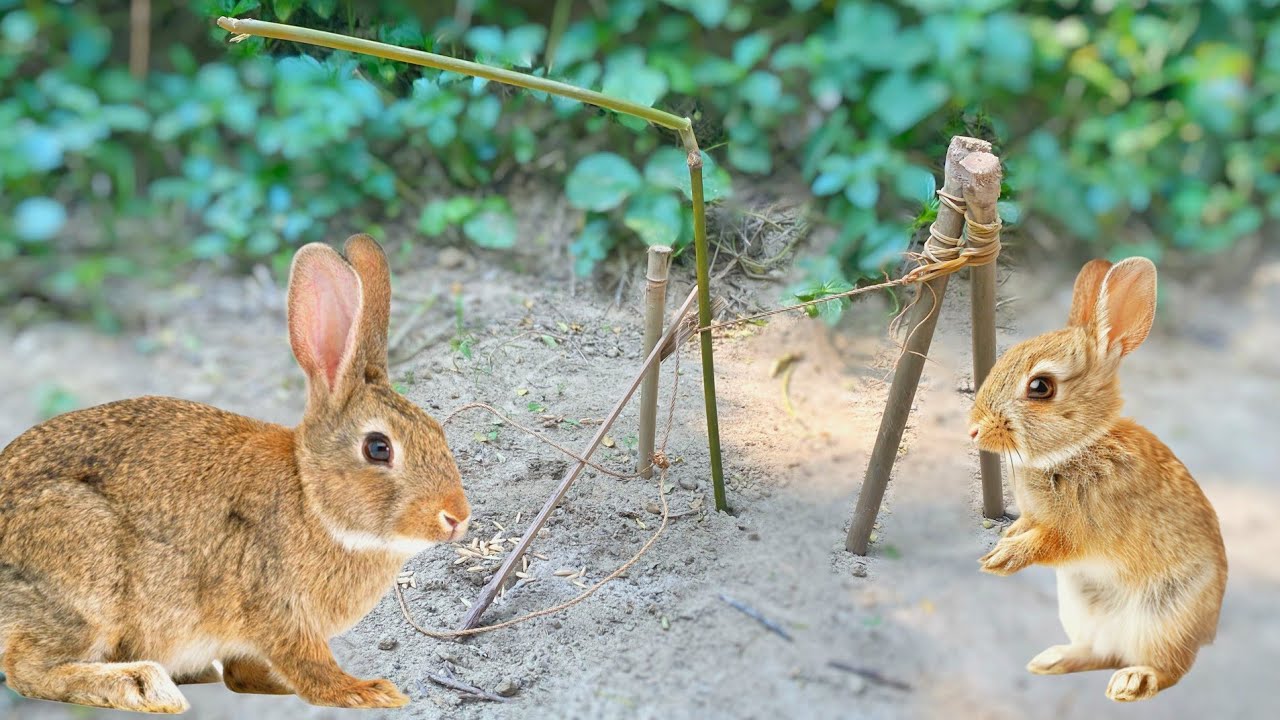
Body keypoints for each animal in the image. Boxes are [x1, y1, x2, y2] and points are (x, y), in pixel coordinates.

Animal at [0, 234, 471, 713]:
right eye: (379, 448)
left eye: (437, 431)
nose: (456, 517)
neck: (311, 500)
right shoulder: (277, 609)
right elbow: (308, 665)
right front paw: (367, 691)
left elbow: (245, 675)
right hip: (83, 569)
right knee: (28, 670)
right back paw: (144, 686)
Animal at [968, 257, 1227, 703]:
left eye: (1040, 387)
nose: (973, 430)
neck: (1077, 448)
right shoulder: (1037, 518)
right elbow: (1026, 526)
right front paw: (1003, 542)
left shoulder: (1079, 530)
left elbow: (1051, 543)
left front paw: (1002, 560)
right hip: (1080, 607)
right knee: (1101, 652)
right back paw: (1051, 660)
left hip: (1165, 618)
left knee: (1168, 668)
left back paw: (1133, 682)